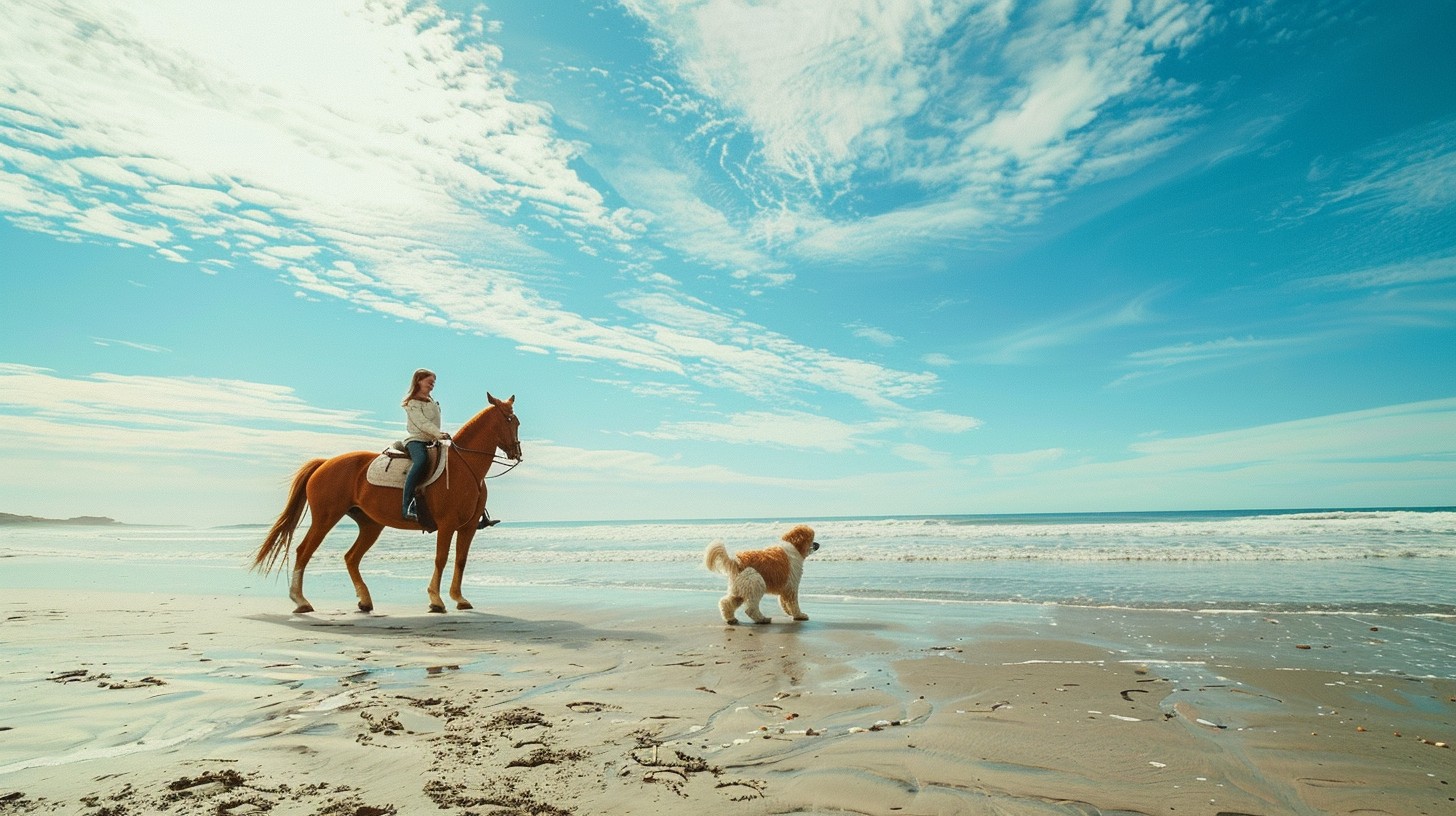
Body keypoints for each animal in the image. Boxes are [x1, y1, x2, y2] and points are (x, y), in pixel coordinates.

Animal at [252, 392, 522, 614]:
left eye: (516, 422)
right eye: (510, 420)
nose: (517, 454)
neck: (465, 467)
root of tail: (325, 463)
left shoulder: (467, 527)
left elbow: (461, 560)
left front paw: (459, 598)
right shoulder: (446, 525)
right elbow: (441, 558)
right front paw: (436, 600)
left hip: (370, 525)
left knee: (351, 557)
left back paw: (364, 601)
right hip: (325, 519)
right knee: (304, 551)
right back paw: (301, 601)